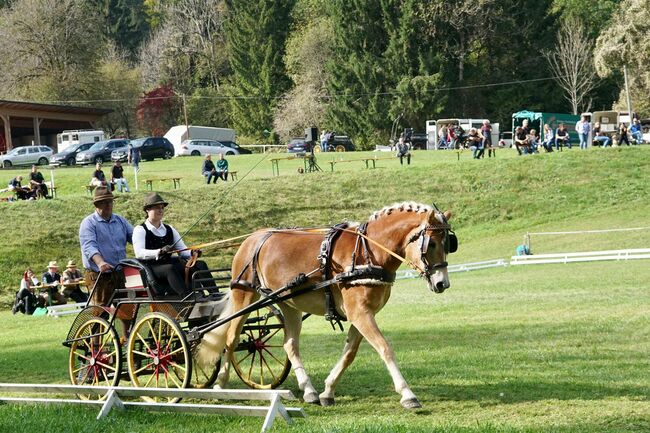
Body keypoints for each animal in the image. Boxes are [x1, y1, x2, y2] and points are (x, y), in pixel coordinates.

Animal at [197, 201, 456, 406]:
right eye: (431, 244)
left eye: (449, 244)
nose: (442, 283)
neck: (368, 251)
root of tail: (252, 238)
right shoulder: (360, 313)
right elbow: (385, 348)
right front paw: (407, 394)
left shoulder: (362, 314)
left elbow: (349, 353)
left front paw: (327, 391)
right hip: (244, 296)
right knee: (230, 339)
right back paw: (220, 384)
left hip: (288, 303)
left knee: (290, 345)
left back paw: (308, 390)